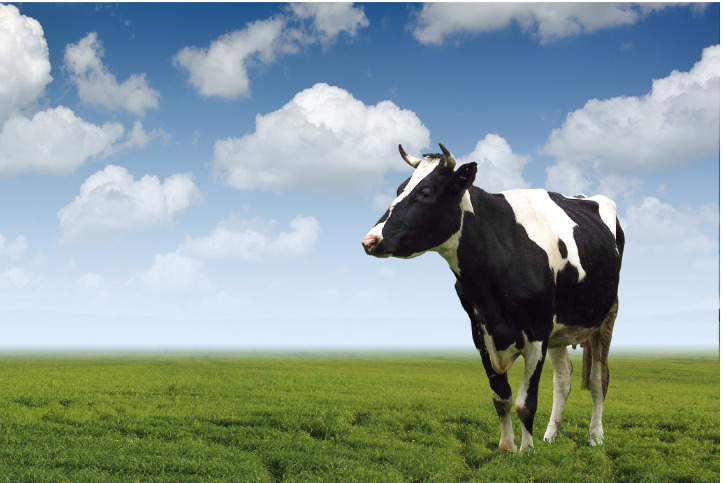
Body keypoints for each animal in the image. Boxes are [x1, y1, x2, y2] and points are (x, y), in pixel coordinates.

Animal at [362, 143, 624, 454]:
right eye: (399, 189)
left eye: (425, 193)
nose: (370, 240)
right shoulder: (480, 332)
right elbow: (501, 398)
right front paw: (506, 448)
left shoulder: (537, 333)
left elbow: (525, 403)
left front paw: (526, 451)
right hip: (560, 329)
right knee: (563, 378)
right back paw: (551, 434)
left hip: (606, 315)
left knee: (599, 379)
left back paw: (595, 435)